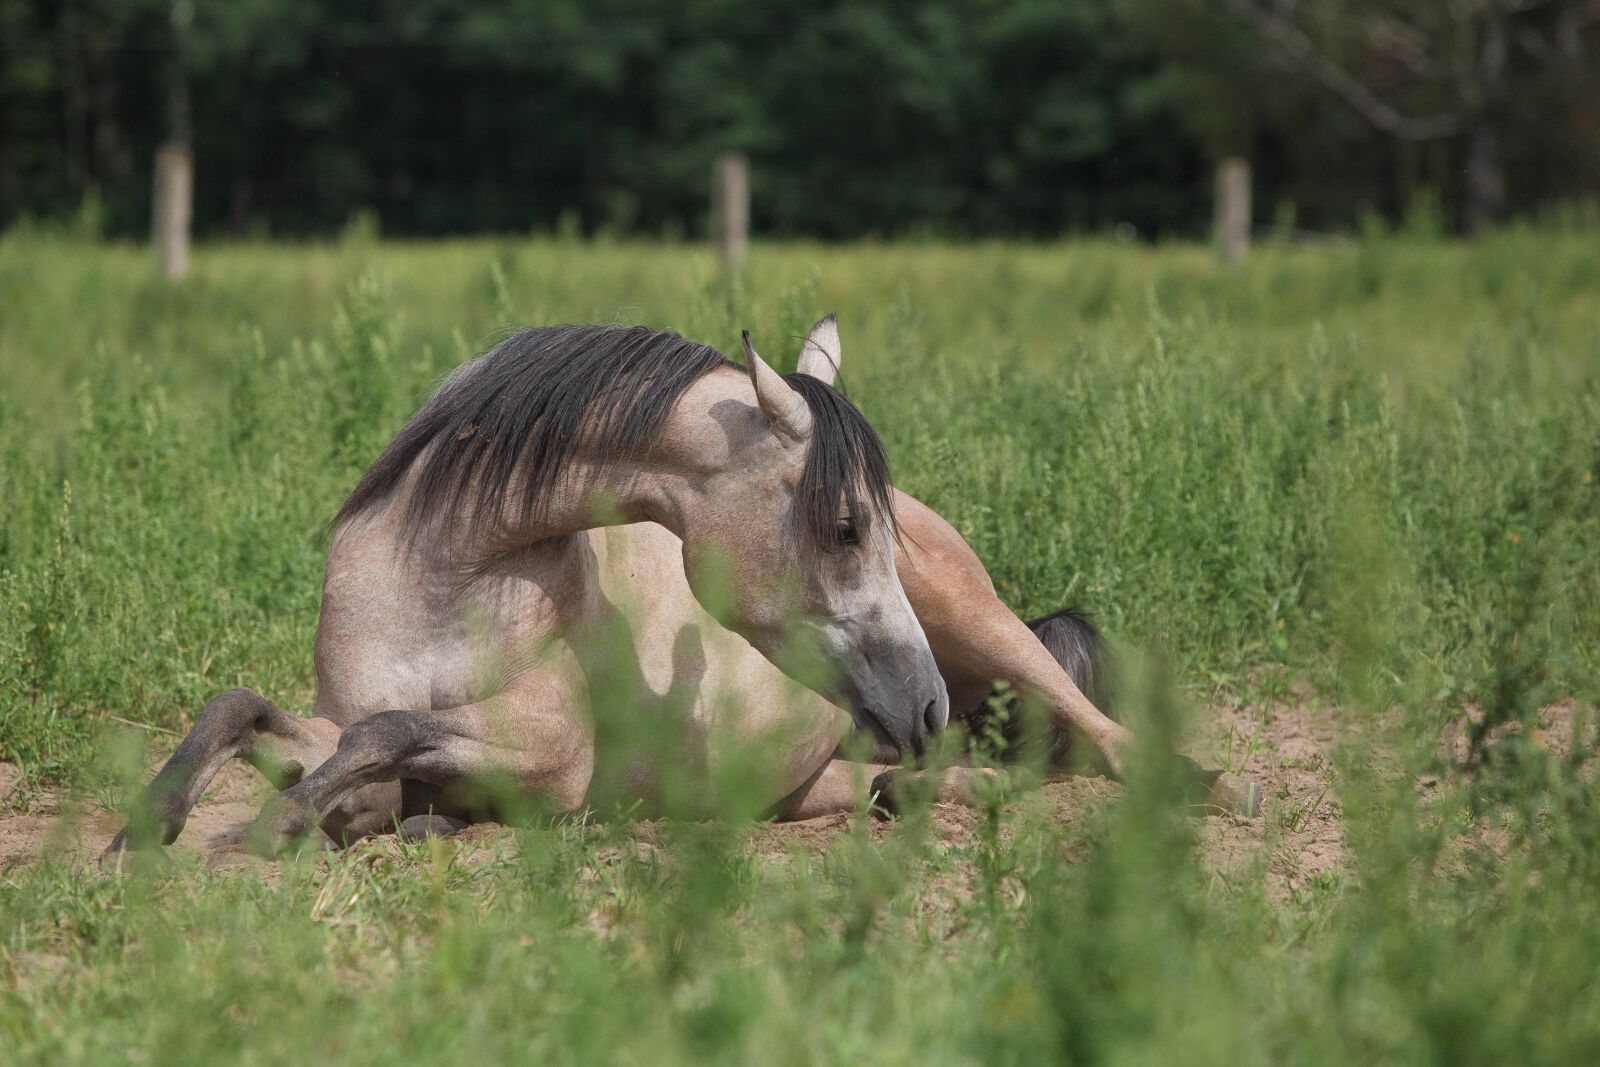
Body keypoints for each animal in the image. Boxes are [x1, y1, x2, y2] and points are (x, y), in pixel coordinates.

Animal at [104, 315, 1253, 864]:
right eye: (845, 526)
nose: (923, 704)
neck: (440, 586)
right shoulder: (343, 737)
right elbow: (254, 712)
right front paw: (147, 826)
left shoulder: (547, 759)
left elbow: (385, 731)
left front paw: (260, 830)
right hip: (844, 768)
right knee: (936, 784)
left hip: (982, 624)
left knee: (1099, 735)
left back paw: (1210, 786)